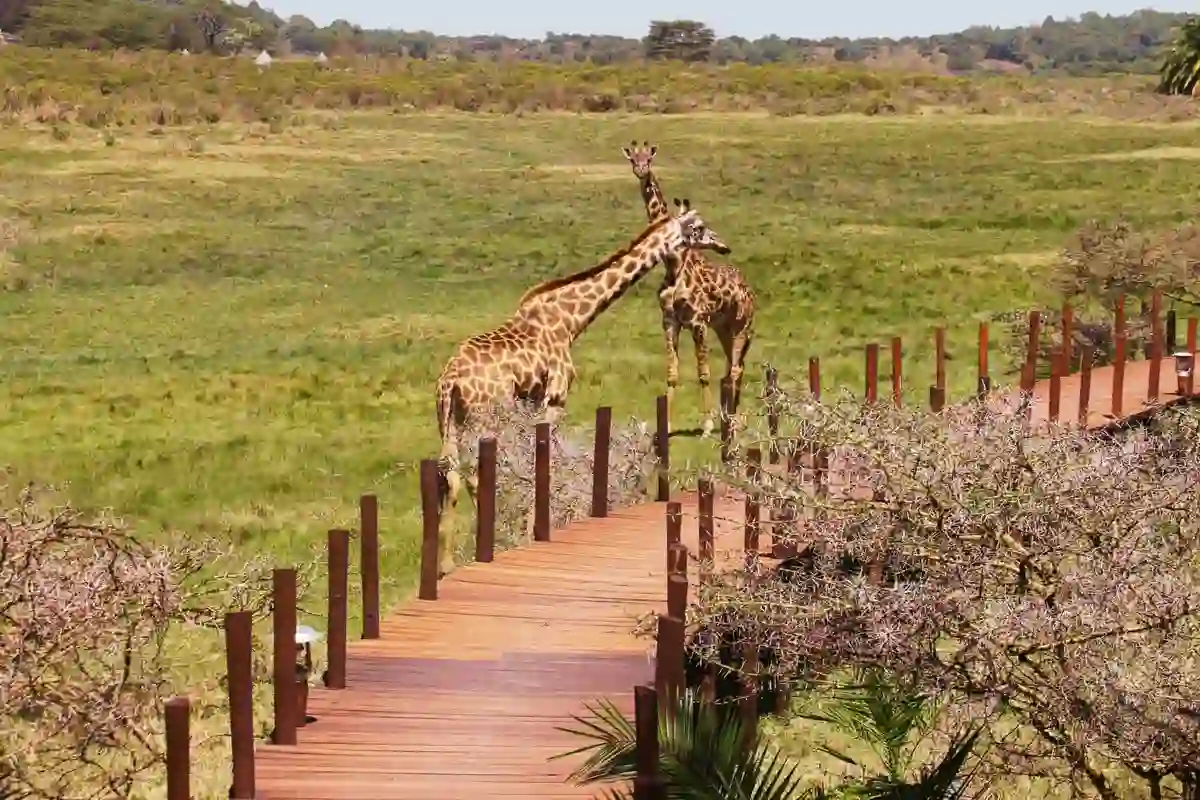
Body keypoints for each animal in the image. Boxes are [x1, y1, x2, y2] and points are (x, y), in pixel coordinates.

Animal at [433, 199, 731, 577]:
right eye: (699, 226)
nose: (723, 245)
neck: (572, 320)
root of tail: (449, 381)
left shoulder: (533, 400)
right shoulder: (556, 397)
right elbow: (541, 460)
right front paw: (532, 527)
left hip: (450, 420)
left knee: (450, 474)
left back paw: (445, 564)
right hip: (482, 418)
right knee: (472, 474)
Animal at [621, 140, 758, 435]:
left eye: (649, 158)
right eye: (632, 159)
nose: (641, 171)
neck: (673, 263)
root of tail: (751, 292)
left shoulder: (697, 322)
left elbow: (703, 373)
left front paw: (706, 425)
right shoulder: (670, 321)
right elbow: (672, 374)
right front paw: (666, 424)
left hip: (741, 326)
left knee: (735, 369)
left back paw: (731, 421)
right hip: (723, 329)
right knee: (733, 367)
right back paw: (729, 416)